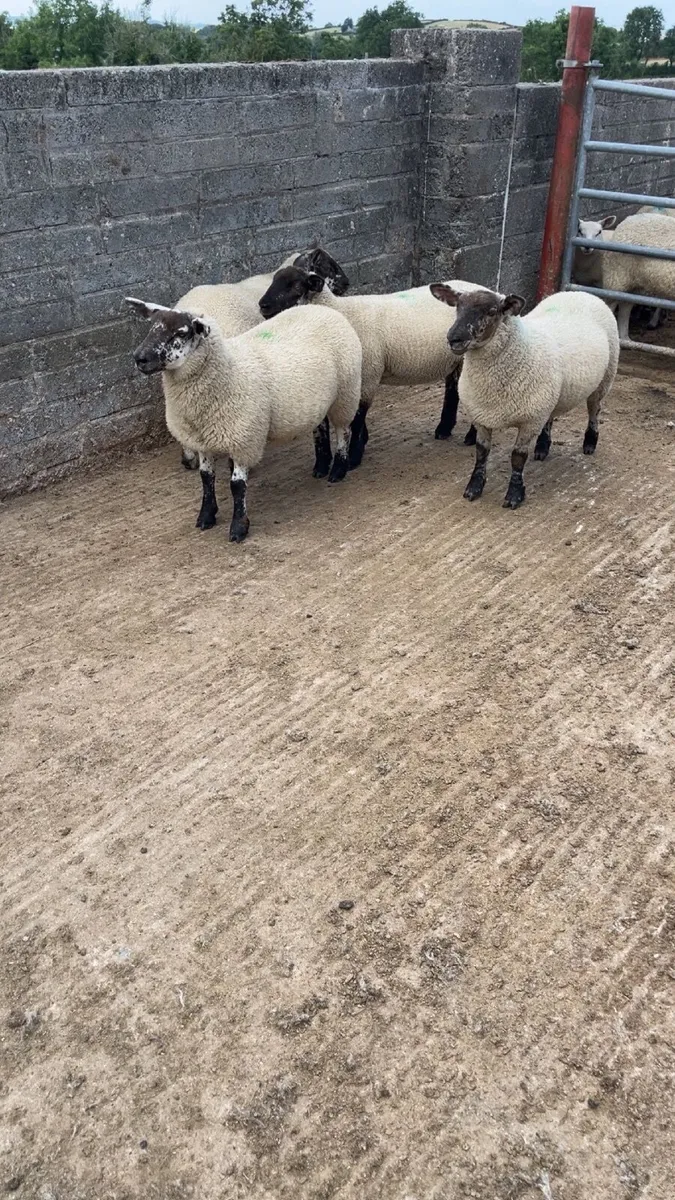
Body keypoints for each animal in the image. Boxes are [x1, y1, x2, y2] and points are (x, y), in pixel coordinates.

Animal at [126, 297, 362, 543]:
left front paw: (239, 527)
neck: (228, 371)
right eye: (151, 327)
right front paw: (206, 516)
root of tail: (322, 308)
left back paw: (338, 469)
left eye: (180, 333)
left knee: (343, 430)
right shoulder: (202, 440)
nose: (139, 358)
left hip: (346, 392)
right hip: (318, 400)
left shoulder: (243, 438)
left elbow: (237, 486)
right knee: (320, 426)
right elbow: (206, 477)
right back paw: (321, 465)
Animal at [258, 267, 484, 467]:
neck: (341, 311)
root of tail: (482, 288)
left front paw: (354, 456)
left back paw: (470, 437)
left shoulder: (367, 374)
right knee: (453, 390)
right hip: (455, 360)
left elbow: (358, 417)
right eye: (273, 280)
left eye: (295, 285)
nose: (263, 305)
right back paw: (444, 430)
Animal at [429, 285, 619, 509]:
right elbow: (481, 453)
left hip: (604, 378)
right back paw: (542, 447)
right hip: (550, 396)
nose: (454, 338)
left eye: (492, 311)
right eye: (458, 307)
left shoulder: (530, 420)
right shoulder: (482, 416)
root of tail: (581, 293)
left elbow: (517, 458)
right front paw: (474, 488)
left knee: (594, 411)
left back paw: (589, 443)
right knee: (551, 417)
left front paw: (514, 495)